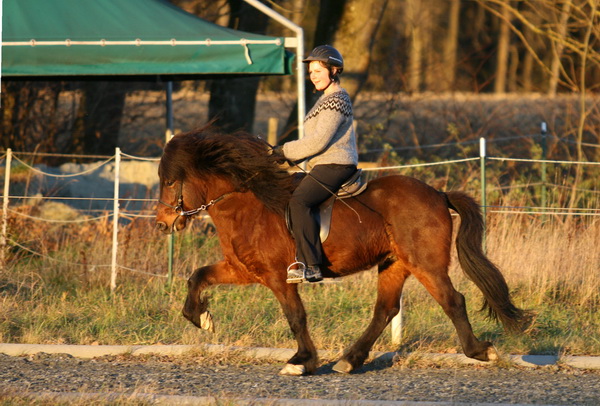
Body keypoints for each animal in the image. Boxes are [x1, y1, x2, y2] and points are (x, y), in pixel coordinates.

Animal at [156, 125, 528, 376]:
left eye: (171, 182)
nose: (162, 224)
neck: (248, 205)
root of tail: (438, 194)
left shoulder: (278, 277)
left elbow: (295, 316)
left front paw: (301, 362)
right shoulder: (243, 270)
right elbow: (197, 276)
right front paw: (201, 318)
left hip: (425, 263)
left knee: (452, 301)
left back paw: (480, 351)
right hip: (394, 264)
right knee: (385, 310)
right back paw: (350, 360)